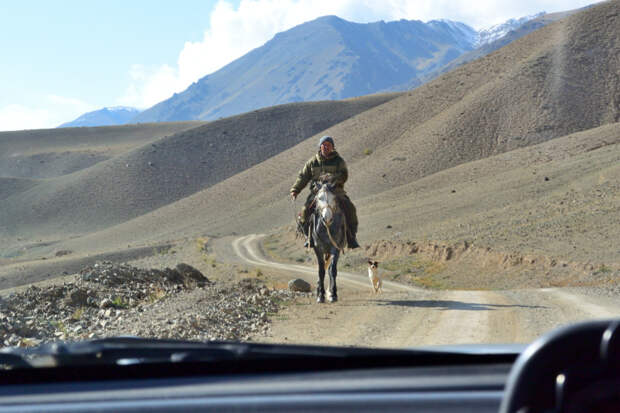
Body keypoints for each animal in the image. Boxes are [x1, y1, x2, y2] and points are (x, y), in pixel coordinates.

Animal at [308, 174, 346, 302]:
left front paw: (333, 294)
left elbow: (332, 270)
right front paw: (320, 295)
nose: (327, 218)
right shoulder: (318, 248)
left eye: (333, 198)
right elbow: (321, 271)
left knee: (329, 268)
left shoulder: (336, 248)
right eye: (319, 198)